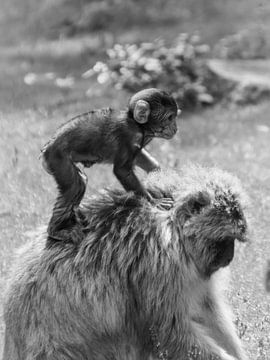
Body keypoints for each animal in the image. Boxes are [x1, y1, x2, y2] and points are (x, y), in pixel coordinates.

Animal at [3, 167, 248, 360]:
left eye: (234, 240)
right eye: (225, 240)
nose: (229, 257)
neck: (173, 227)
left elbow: (207, 308)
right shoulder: (160, 264)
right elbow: (166, 330)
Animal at [42, 88, 180, 243]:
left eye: (174, 117)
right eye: (169, 118)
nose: (175, 128)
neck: (137, 124)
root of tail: (47, 147)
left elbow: (140, 157)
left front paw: (158, 173)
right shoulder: (128, 135)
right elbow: (122, 171)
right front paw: (154, 202)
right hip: (57, 157)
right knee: (75, 186)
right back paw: (57, 230)